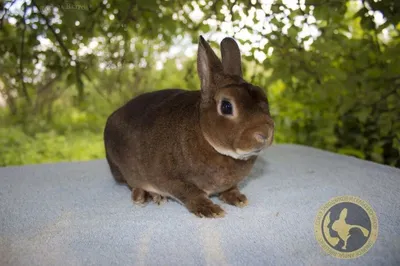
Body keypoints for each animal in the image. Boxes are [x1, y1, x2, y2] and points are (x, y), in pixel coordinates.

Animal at [102, 35, 276, 218]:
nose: (265, 133)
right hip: (120, 168)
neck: (205, 135)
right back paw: (146, 196)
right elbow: (191, 194)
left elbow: (229, 189)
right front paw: (210, 210)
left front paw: (238, 198)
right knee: (131, 183)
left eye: (263, 96)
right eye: (227, 106)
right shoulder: (173, 180)